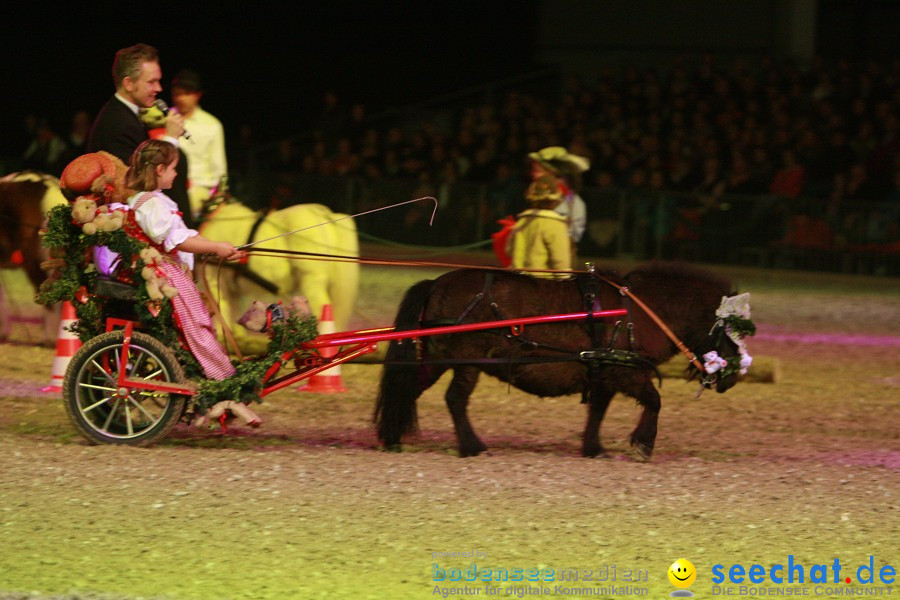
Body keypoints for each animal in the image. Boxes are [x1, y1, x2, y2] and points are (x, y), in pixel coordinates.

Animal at [200, 199, 358, 354]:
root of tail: (322, 214)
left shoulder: (215, 281)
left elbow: (221, 311)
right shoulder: (232, 290)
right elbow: (233, 314)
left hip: (312, 279)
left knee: (321, 308)